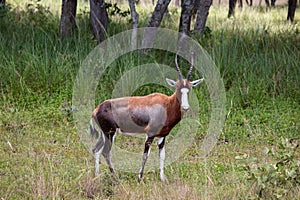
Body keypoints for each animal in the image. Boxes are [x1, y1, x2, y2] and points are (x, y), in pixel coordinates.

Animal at [89, 53, 204, 181]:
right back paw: (116, 178)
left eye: (189, 89)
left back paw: (96, 176)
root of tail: (97, 109)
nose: (185, 107)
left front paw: (162, 179)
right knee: (105, 152)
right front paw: (139, 178)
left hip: (104, 134)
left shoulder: (162, 136)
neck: (166, 104)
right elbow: (145, 155)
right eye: (178, 88)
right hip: (110, 133)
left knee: (96, 150)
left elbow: (162, 156)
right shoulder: (150, 134)